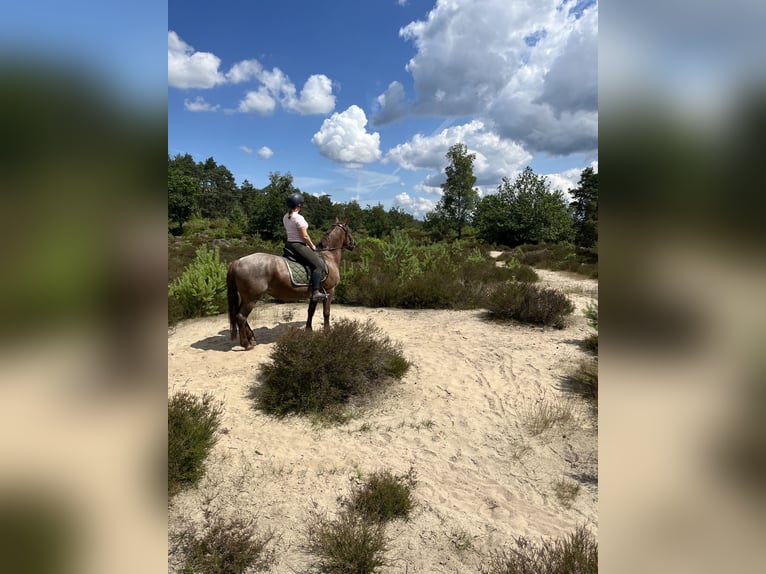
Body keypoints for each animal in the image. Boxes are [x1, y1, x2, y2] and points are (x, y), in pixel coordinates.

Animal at [228, 218, 356, 348]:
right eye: (348, 230)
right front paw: (327, 332)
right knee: (241, 317)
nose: (353, 244)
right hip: (251, 298)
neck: (328, 257)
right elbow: (326, 312)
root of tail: (237, 261)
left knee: (240, 315)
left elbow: (310, 312)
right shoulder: (330, 291)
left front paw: (308, 331)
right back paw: (246, 344)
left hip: (246, 297)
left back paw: (252, 338)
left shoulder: (315, 294)